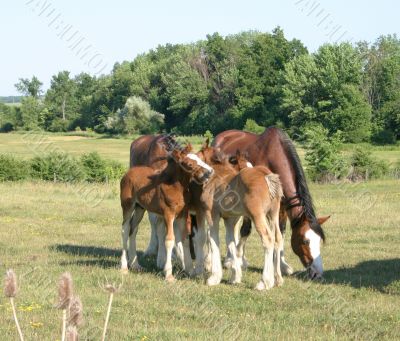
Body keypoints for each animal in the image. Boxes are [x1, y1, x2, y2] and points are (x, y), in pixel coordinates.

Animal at [119, 142, 212, 280]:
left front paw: (190, 270)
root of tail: (128, 173)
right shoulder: (169, 214)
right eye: (189, 164)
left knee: (133, 229)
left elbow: (184, 239)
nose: (209, 173)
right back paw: (124, 266)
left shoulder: (182, 215)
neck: (174, 187)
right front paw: (168, 274)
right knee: (125, 229)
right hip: (128, 206)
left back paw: (136, 265)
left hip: (140, 208)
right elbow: (169, 240)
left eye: (199, 158)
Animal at [195, 147, 282, 288]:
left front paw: (214, 277)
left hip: (257, 216)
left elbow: (213, 240)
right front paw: (235, 276)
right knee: (278, 239)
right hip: (273, 214)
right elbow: (231, 242)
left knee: (268, 239)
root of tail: (265, 175)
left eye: (198, 156)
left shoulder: (212, 215)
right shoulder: (230, 220)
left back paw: (264, 282)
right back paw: (278, 278)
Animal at [214, 126, 330, 278]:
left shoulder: (282, 206)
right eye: (306, 241)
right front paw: (238, 259)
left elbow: (280, 233)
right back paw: (231, 258)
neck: (273, 157)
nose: (317, 272)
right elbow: (246, 230)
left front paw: (282, 265)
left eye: (319, 240)